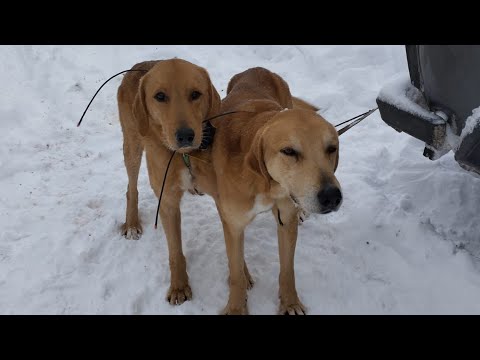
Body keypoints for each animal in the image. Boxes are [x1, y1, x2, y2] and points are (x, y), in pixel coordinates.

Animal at [117, 58, 220, 304]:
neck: (185, 157)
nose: (185, 135)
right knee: (131, 187)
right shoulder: (167, 202)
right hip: (132, 146)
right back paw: (132, 223)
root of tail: (138, 65)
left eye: (195, 94)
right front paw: (179, 286)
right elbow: (175, 251)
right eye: (160, 96)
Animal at [185, 68, 342, 316]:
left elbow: (287, 269)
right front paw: (236, 307)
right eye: (289, 151)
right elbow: (236, 272)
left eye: (331, 148)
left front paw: (290, 303)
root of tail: (258, 69)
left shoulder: (285, 218)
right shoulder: (234, 223)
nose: (331, 196)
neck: (264, 183)